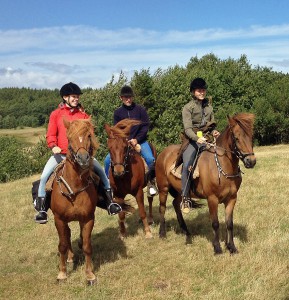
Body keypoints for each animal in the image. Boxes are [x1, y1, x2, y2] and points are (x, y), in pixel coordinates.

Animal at [49, 117, 99, 284]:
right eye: (69, 137)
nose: (83, 158)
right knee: (66, 236)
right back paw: (70, 258)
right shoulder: (59, 219)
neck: (74, 188)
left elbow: (87, 245)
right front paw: (62, 273)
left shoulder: (88, 218)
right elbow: (62, 245)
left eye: (89, 136)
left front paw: (89, 274)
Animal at [154, 112, 255, 253]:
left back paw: (186, 231)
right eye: (236, 137)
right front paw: (217, 247)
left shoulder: (232, 199)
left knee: (175, 204)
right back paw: (162, 233)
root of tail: (162, 153)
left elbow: (229, 224)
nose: (251, 161)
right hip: (163, 189)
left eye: (251, 136)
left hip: (181, 191)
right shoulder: (212, 199)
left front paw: (231, 247)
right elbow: (215, 223)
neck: (221, 166)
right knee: (162, 208)